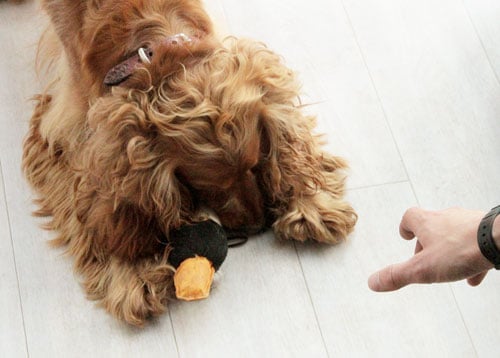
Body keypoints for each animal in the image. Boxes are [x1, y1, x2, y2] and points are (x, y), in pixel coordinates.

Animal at [23, 0, 358, 324]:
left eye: (253, 163)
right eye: (207, 185)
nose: (257, 225)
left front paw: (312, 204)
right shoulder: (63, 132)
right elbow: (101, 211)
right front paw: (134, 274)